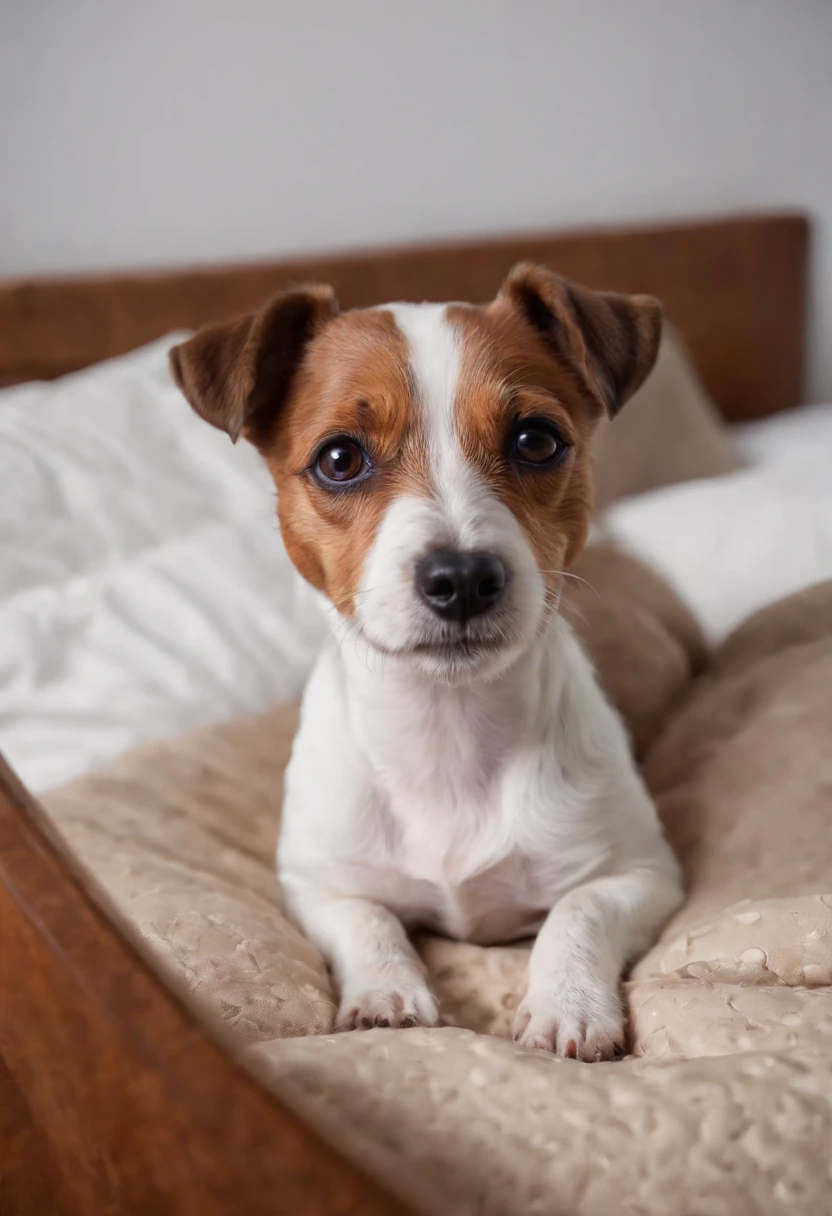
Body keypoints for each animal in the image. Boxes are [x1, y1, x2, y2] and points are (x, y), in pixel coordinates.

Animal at [169, 261, 681, 1060]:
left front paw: (566, 1003)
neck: (449, 732)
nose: (462, 577)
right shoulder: (315, 883)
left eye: (537, 440)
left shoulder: (644, 872)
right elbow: (369, 919)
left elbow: (578, 913)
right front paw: (386, 992)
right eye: (340, 458)